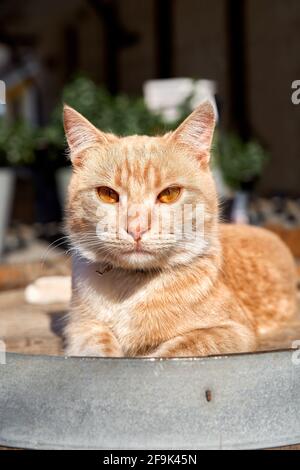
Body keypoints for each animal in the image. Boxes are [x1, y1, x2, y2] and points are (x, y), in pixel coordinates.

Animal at [63, 100, 298, 356]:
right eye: (107, 194)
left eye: (169, 194)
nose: (136, 228)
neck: (130, 288)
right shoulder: (81, 328)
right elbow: (99, 348)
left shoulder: (233, 331)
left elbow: (177, 349)